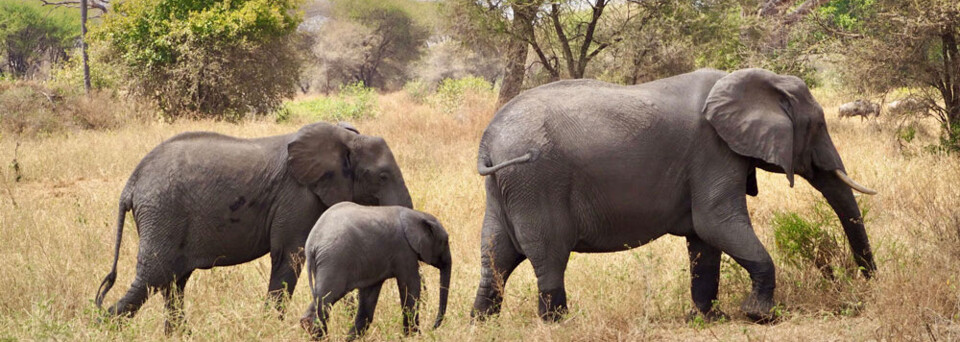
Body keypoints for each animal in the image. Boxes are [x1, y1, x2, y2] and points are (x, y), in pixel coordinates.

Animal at [94, 121, 412, 332]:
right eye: (382, 176)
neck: (344, 137)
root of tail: (131, 184)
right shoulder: (296, 196)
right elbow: (290, 255)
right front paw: (270, 327)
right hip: (162, 213)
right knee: (154, 276)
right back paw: (103, 327)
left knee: (173, 281)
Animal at [298, 202, 452, 340]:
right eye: (445, 242)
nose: (433, 328)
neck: (417, 215)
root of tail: (312, 244)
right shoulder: (404, 250)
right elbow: (411, 285)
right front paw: (414, 336)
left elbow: (369, 296)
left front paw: (351, 338)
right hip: (334, 260)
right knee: (327, 298)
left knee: (322, 298)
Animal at [470, 68, 876, 322]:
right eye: (818, 125)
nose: (869, 282)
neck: (754, 79)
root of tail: (488, 142)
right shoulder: (713, 151)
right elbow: (716, 223)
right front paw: (760, 316)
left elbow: (705, 239)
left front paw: (709, 318)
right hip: (535, 181)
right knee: (549, 254)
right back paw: (558, 324)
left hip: (505, 188)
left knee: (496, 254)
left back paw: (481, 323)